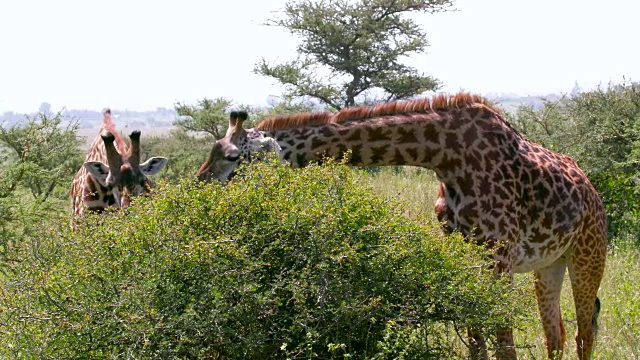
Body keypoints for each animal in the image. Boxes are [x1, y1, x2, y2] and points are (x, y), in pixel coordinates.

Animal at [198, 93, 608, 360]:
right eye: (213, 150)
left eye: (231, 157)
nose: (198, 185)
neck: (445, 157)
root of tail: (593, 193)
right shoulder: (462, 250)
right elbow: (475, 336)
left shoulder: (499, 252)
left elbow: (503, 340)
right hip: (549, 263)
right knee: (556, 335)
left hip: (588, 255)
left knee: (584, 332)